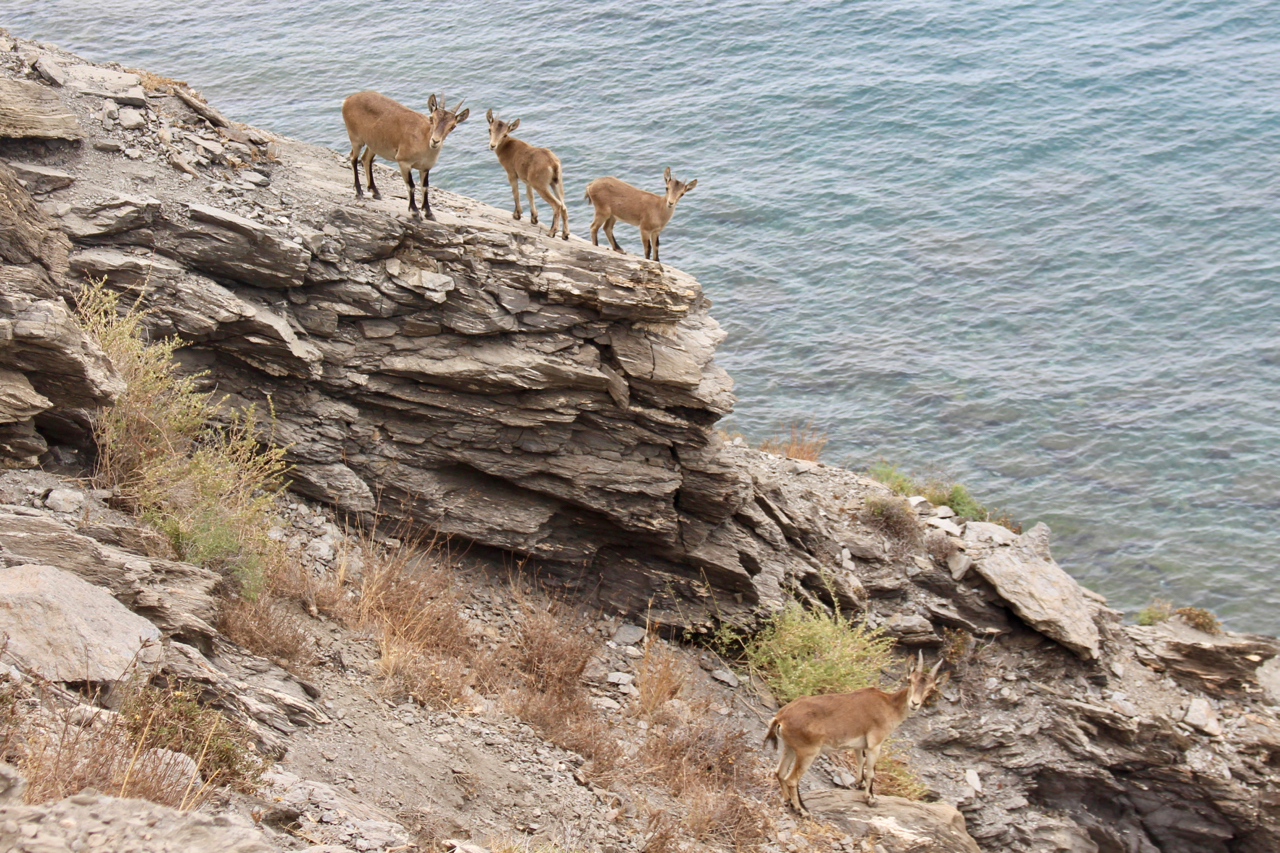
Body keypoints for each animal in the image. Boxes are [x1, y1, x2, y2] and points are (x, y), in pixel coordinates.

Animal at [343, 89, 473, 219]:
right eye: (431, 118)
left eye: (453, 126)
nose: (435, 141)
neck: (423, 138)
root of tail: (348, 99)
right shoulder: (404, 162)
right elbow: (411, 185)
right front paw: (415, 210)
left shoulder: (425, 167)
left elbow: (425, 187)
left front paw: (428, 212)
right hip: (355, 137)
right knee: (353, 158)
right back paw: (359, 191)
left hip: (373, 144)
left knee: (366, 159)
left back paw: (375, 192)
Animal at [483, 108, 570, 239]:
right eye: (489, 129)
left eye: (505, 134)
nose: (492, 145)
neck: (507, 146)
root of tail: (553, 164)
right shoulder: (528, 181)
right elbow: (530, 195)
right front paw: (534, 218)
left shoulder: (511, 173)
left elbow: (515, 192)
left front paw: (517, 214)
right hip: (556, 183)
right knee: (564, 206)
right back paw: (565, 234)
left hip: (541, 185)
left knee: (557, 205)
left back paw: (552, 232)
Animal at [762, 650, 947, 809]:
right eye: (910, 681)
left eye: (931, 688)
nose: (915, 703)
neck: (888, 705)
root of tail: (781, 717)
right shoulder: (875, 744)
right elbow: (871, 771)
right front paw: (870, 798)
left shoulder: (859, 745)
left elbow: (860, 762)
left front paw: (858, 783)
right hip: (807, 752)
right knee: (791, 779)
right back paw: (802, 810)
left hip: (789, 747)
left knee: (779, 773)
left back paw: (788, 801)